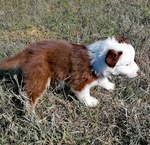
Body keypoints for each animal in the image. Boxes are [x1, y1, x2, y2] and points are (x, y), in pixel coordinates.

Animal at [0, 35, 141, 107]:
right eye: (127, 64)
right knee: (30, 97)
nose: (139, 72)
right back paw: (32, 117)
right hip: (39, 74)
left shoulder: (98, 74)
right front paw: (90, 103)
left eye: (133, 60)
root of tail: (29, 51)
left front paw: (109, 86)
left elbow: (103, 80)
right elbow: (83, 94)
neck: (99, 58)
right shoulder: (79, 81)